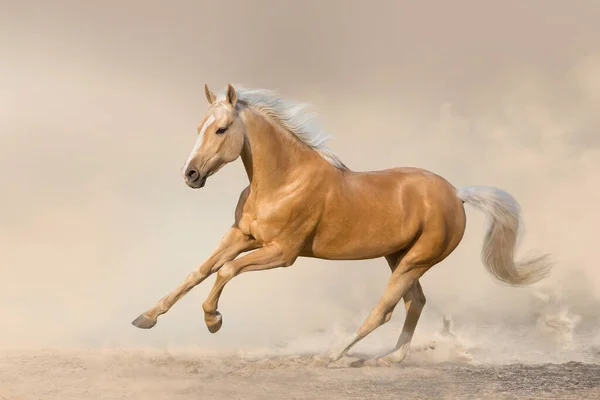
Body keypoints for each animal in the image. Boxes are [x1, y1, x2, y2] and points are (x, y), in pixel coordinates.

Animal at [132, 84, 552, 366]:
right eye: (198, 128)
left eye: (220, 129)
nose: (190, 175)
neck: (283, 181)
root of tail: (457, 194)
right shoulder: (242, 236)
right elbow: (200, 270)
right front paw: (146, 318)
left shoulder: (282, 253)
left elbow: (226, 271)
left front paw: (213, 321)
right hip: (399, 256)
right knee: (414, 302)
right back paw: (391, 359)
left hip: (415, 259)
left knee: (385, 309)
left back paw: (333, 355)